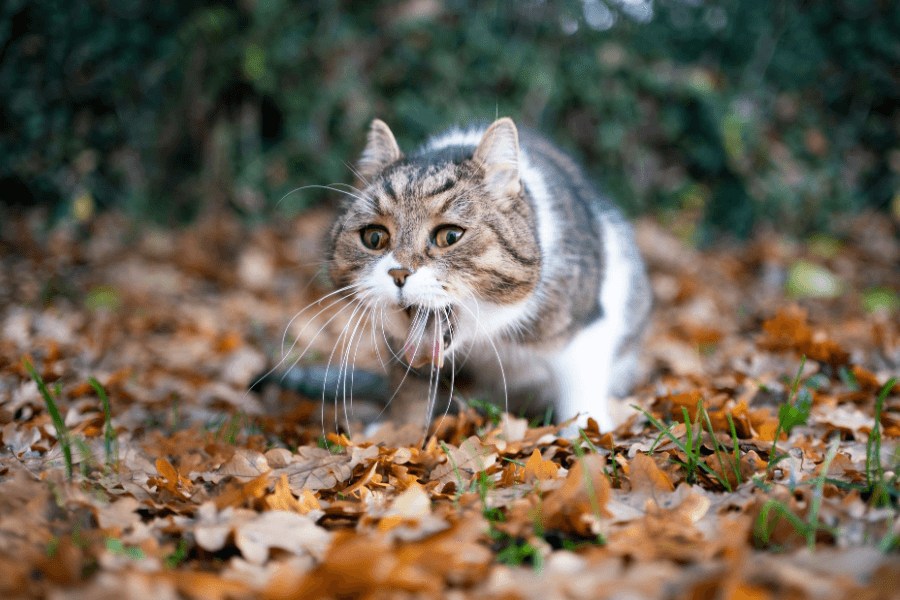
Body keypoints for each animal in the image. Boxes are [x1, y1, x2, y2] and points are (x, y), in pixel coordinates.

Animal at [326, 117, 652, 434]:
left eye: (450, 236)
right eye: (374, 237)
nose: (398, 272)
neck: (485, 336)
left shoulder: (586, 323)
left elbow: (580, 384)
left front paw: (586, 434)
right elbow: (410, 388)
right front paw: (397, 433)